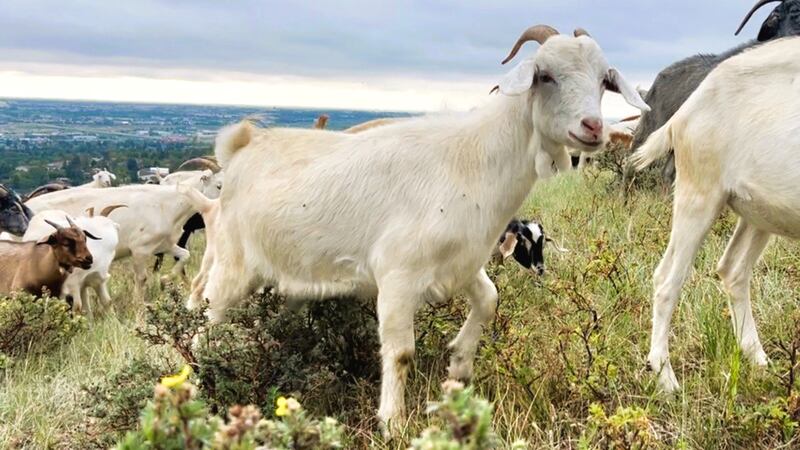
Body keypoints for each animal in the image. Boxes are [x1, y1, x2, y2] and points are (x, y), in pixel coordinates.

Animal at [201, 25, 648, 431]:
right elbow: (401, 353)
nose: (593, 127)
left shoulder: (462, 262)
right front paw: (393, 422)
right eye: (545, 75)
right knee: (207, 317)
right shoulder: (397, 275)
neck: (471, 160)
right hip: (231, 266)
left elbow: (489, 299)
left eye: (603, 80)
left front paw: (459, 369)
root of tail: (241, 146)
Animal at [630, 36, 800, 393]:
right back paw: (666, 379)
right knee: (667, 280)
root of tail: (685, 112)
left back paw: (759, 362)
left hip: (760, 212)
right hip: (698, 194)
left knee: (732, 270)